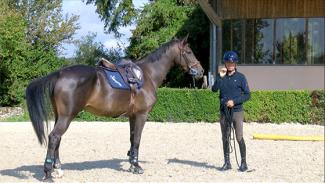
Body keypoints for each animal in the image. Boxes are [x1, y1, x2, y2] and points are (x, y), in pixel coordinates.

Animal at [24, 36, 202, 179]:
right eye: (188, 52)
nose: (200, 71)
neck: (147, 75)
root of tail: (60, 73)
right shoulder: (142, 115)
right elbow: (137, 140)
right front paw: (137, 166)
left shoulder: (132, 116)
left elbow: (131, 139)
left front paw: (131, 163)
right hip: (67, 116)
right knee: (54, 137)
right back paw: (48, 173)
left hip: (60, 116)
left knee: (57, 139)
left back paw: (58, 169)